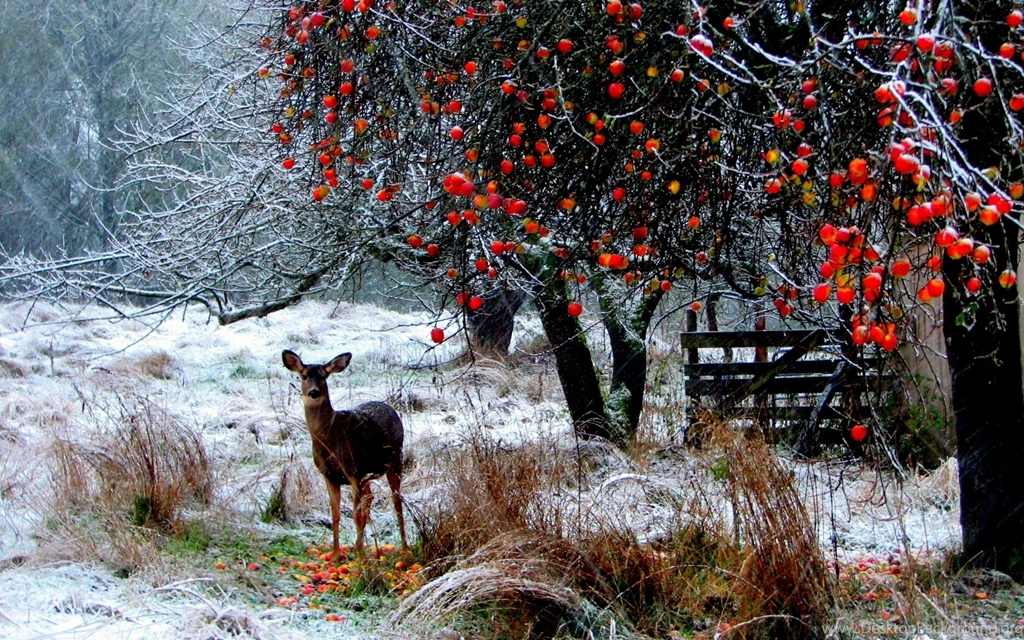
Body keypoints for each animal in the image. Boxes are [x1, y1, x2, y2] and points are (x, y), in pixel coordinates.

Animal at [282, 350, 408, 561]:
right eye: (304, 376)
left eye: (324, 376)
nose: (314, 392)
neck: (330, 438)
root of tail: (389, 408)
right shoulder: (330, 475)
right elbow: (336, 514)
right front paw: (335, 555)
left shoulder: (352, 470)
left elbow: (356, 514)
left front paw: (360, 557)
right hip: (367, 474)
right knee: (370, 497)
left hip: (395, 460)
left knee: (396, 501)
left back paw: (404, 548)